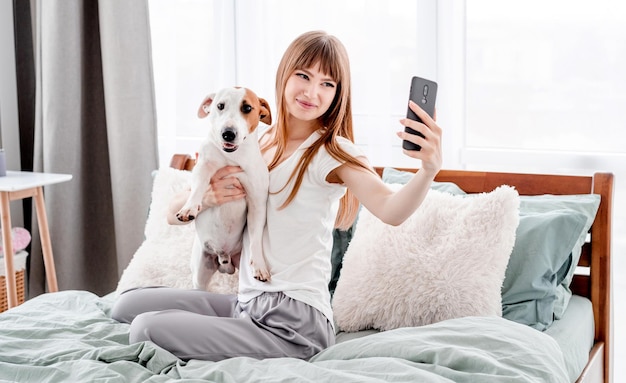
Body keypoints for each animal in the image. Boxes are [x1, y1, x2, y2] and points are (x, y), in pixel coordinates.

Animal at [177, 87, 272, 290]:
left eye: (247, 108)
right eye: (220, 106)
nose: (228, 133)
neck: (233, 157)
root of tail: (224, 257)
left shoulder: (257, 203)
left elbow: (256, 238)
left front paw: (259, 265)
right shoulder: (203, 165)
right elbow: (199, 186)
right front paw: (189, 207)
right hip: (200, 273)